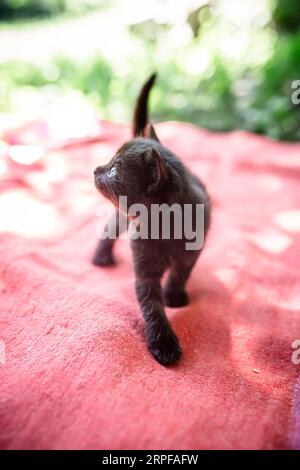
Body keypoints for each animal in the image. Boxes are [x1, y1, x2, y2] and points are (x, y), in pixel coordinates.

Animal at [94, 74, 211, 368]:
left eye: (114, 170)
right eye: (109, 161)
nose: (96, 170)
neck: (165, 228)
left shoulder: (192, 252)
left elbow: (181, 273)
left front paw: (175, 295)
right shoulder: (144, 271)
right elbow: (152, 306)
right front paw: (164, 344)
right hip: (120, 217)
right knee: (108, 231)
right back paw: (101, 258)